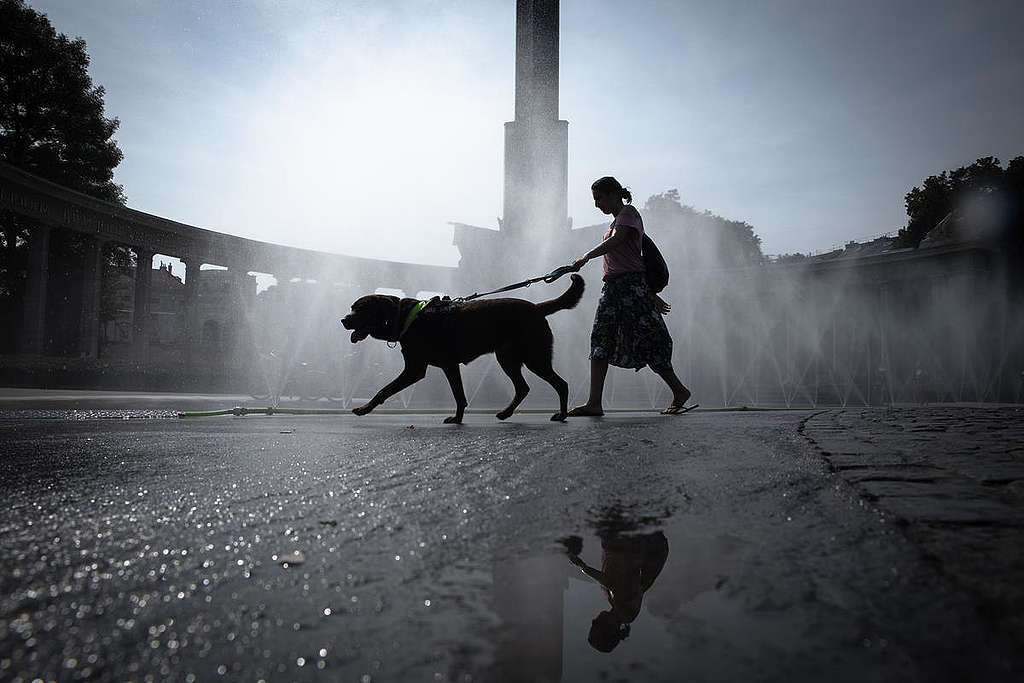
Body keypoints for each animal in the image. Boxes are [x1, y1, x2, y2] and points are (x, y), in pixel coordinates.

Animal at [342, 272, 585, 421]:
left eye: (361, 309)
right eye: (352, 307)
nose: (343, 320)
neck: (405, 317)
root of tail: (537, 308)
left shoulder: (415, 369)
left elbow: (384, 389)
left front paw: (364, 409)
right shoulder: (450, 366)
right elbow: (459, 394)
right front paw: (458, 419)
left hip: (534, 357)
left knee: (561, 384)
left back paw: (562, 415)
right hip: (507, 358)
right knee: (523, 388)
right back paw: (506, 413)